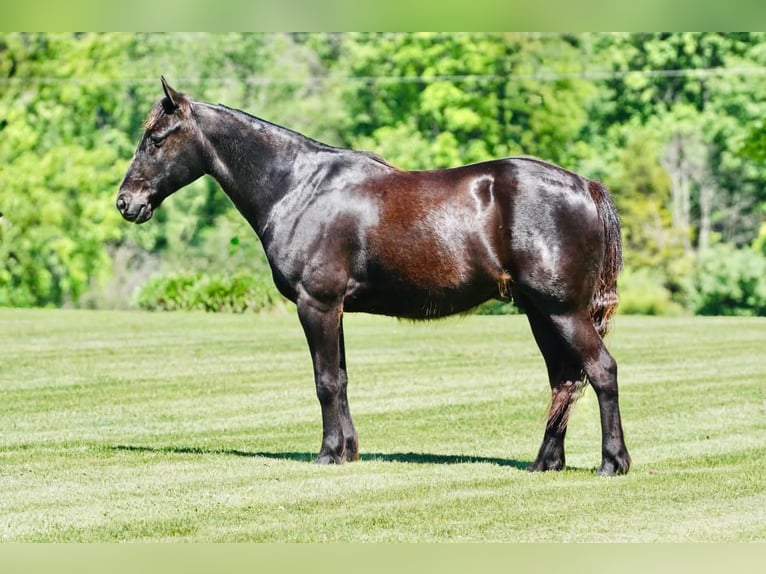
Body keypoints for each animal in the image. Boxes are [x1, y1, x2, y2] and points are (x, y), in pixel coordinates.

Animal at [116, 77, 630, 475]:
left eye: (156, 138)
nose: (126, 202)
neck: (298, 187)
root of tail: (584, 185)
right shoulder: (335, 308)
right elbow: (341, 379)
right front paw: (347, 452)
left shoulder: (317, 303)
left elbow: (325, 380)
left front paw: (327, 454)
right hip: (540, 312)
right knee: (564, 380)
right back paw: (545, 463)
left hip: (562, 311)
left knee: (601, 370)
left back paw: (612, 462)